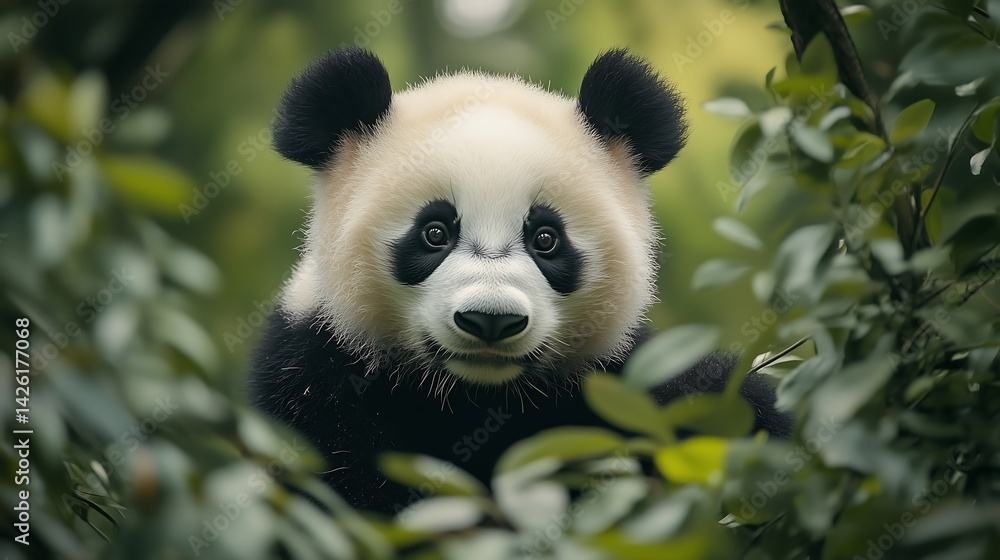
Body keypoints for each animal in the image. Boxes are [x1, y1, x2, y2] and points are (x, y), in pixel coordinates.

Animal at [250, 47, 792, 514]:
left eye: (546, 238)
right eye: (434, 232)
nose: (490, 320)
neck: (475, 398)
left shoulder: (623, 378)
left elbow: (722, 403)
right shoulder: (316, 374)